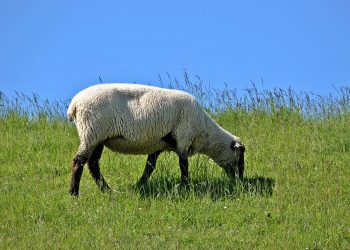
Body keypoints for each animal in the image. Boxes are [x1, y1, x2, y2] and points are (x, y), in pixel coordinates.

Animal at [67, 83, 245, 196]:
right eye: (241, 157)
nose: (240, 180)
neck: (205, 132)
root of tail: (74, 105)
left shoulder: (158, 145)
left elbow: (149, 167)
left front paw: (139, 185)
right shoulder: (183, 137)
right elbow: (183, 165)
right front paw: (185, 186)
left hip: (98, 138)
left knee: (93, 164)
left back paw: (107, 190)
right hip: (91, 132)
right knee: (79, 161)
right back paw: (74, 194)